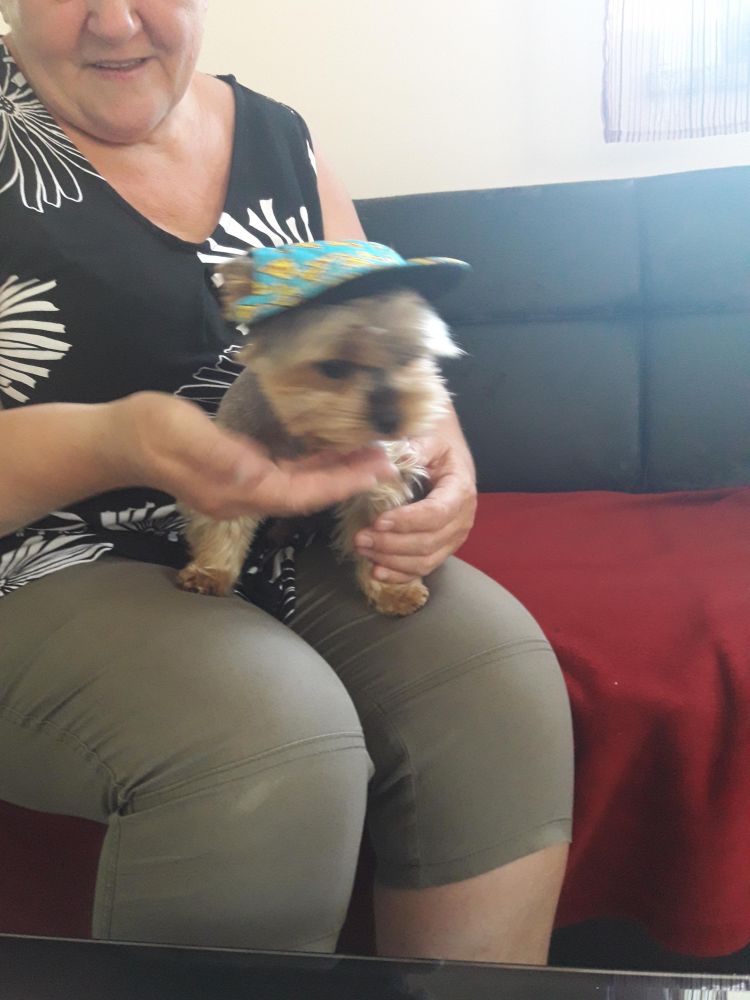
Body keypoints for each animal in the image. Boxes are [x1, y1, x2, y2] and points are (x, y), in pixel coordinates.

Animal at [176, 241, 467, 616]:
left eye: (408, 357)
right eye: (333, 367)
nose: (393, 420)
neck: (311, 436)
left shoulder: (381, 478)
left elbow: (379, 535)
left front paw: (393, 589)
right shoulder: (232, 464)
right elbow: (222, 525)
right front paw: (211, 572)